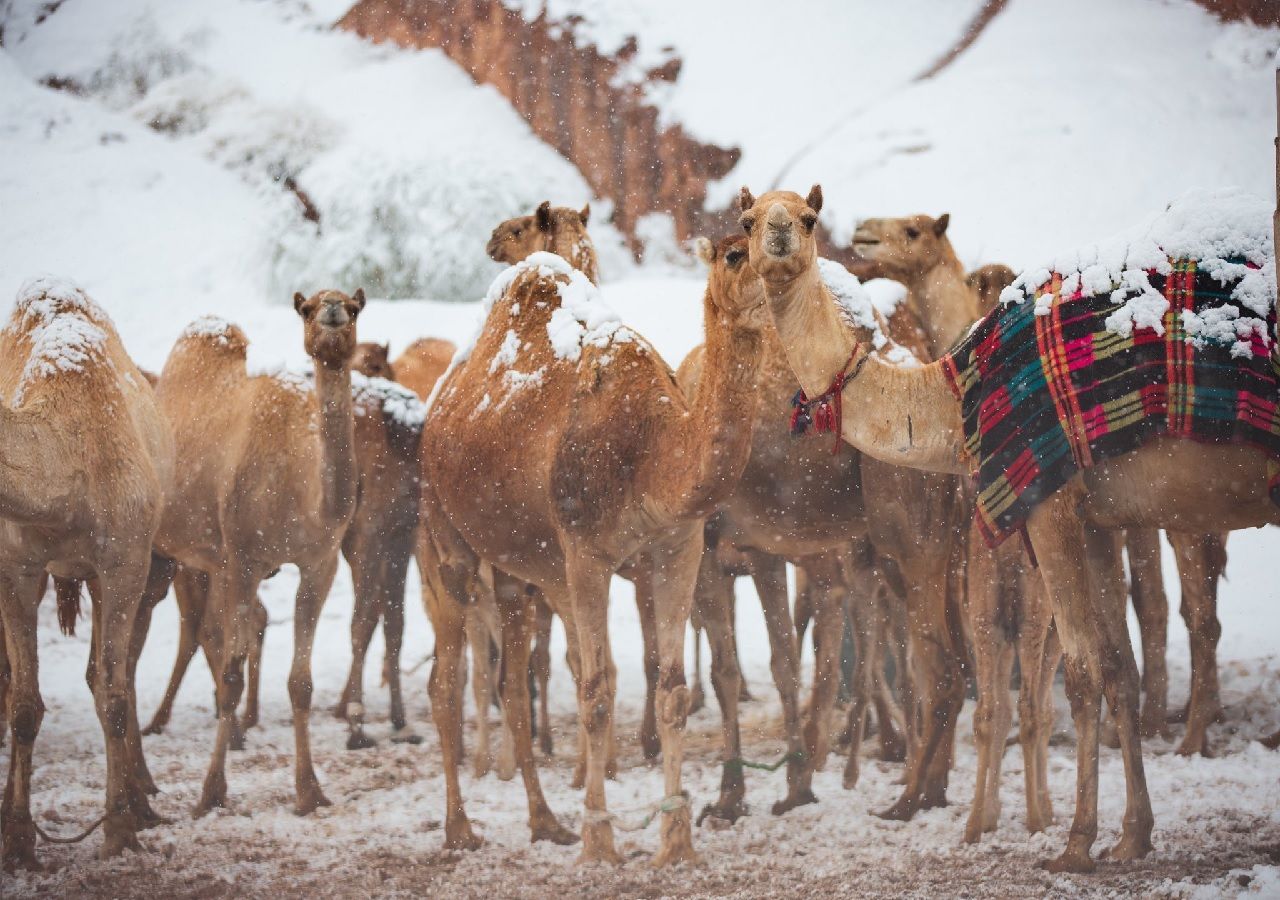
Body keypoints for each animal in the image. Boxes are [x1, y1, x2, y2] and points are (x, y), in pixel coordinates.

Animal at [0, 277, 172, 870]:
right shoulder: (16, 568)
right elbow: (23, 705)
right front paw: (18, 840)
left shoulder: (124, 563)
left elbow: (113, 698)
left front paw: (118, 831)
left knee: (106, 677)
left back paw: (138, 804)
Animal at [135, 286, 366, 819]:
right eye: (306, 308)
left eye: (354, 305)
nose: (332, 311)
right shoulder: (243, 559)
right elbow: (230, 677)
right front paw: (210, 792)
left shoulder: (318, 564)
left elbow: (300, 683)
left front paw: (308, 791)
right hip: (154, 553)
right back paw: (140, 773)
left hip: (197, 561)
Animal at [422, 233, 768, 865]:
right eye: (737, 250)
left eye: (804, 227)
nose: (781, 263)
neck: (651, 452)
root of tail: (439, 404)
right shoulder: (586, 554)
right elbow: (597, 693)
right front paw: (600, 844)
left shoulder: (678, 549)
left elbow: (672, 691)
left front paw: (676, 843)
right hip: (445, 533)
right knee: (446, 682)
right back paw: (460, 830)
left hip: (518, 569)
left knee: (513, 684)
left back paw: (544, 821)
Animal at [742, 184, 1280, 870]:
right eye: (749, 220)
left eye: (809, 218)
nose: (782, 236)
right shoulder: (1098, 517)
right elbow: (1116, 667)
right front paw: (1132, 836)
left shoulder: (1049, 501)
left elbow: (1080, 672)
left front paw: (1075, 843)